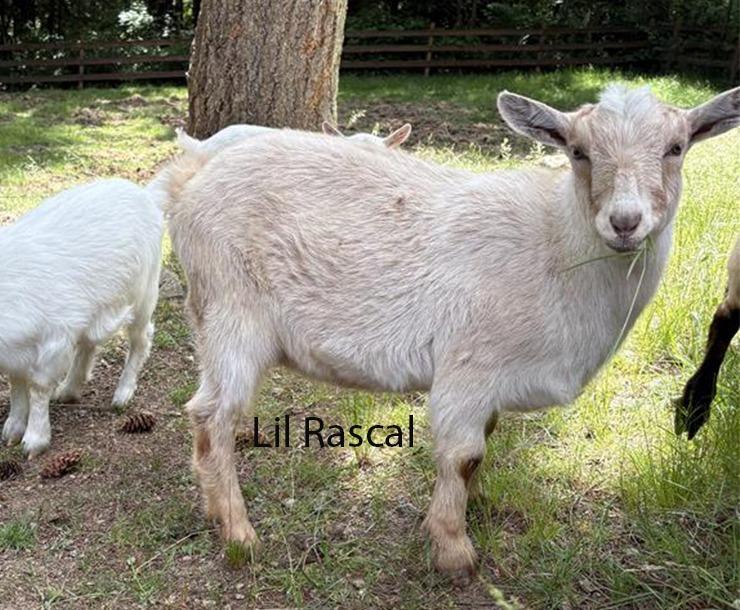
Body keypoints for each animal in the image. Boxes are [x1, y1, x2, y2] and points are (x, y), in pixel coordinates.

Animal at [0, 179, 163, 457]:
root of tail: (146, 195)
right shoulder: (17, 351)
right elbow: (16, 384)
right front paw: (12, 430)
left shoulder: (53, 340)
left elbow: (38, 386)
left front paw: (34, 440)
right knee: (89, 343)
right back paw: (69, 390)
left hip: (143, 295)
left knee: (142, 339)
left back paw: (122, 394)